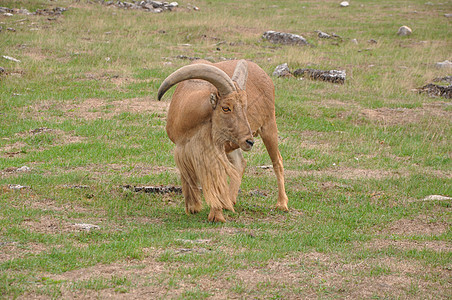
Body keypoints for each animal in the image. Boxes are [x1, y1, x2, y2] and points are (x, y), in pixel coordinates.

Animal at [157, 59, 288, 221]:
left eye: (245, 107)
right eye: (226, 108)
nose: (249, 141)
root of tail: (265, 75)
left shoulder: (212, 153)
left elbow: (215, 180)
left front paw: (215, 215)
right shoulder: (184, 149)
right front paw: (193, 207)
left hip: (269, 126)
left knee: (277, 161)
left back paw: (282, 204)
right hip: (233, 143)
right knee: (240, 163)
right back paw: (229, 202)